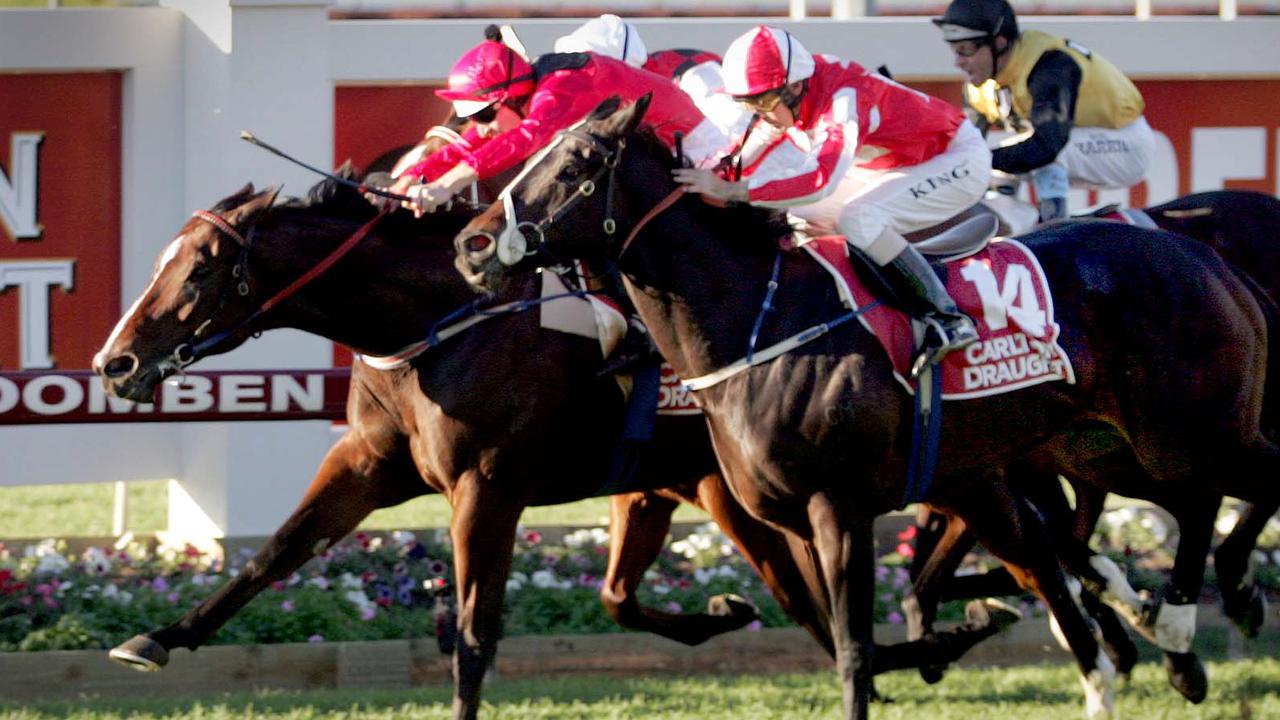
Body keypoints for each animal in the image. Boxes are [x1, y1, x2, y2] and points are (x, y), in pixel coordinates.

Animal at [94, 175, 1003, 717]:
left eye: (201, 270)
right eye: (166, 259)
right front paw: (157, 638)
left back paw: (959, 615)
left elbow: (474, 630)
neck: (436, 321)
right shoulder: (370, 465)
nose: (115, 362)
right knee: (814, 596)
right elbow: (275, 551)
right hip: (735, 490)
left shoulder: (487, 484)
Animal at [453, 96, 1280, 717]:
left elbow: (855, 651)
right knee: (1188, 505)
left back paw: (1211, 608)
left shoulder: (839, 505)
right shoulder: (799, 515)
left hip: (1188, 434)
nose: (472, 244)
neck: (760, 322)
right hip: (1111, 448)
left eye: (576, 166)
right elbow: (844, 627)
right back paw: (1177, 637)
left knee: (1236, 486)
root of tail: (1202, 254)